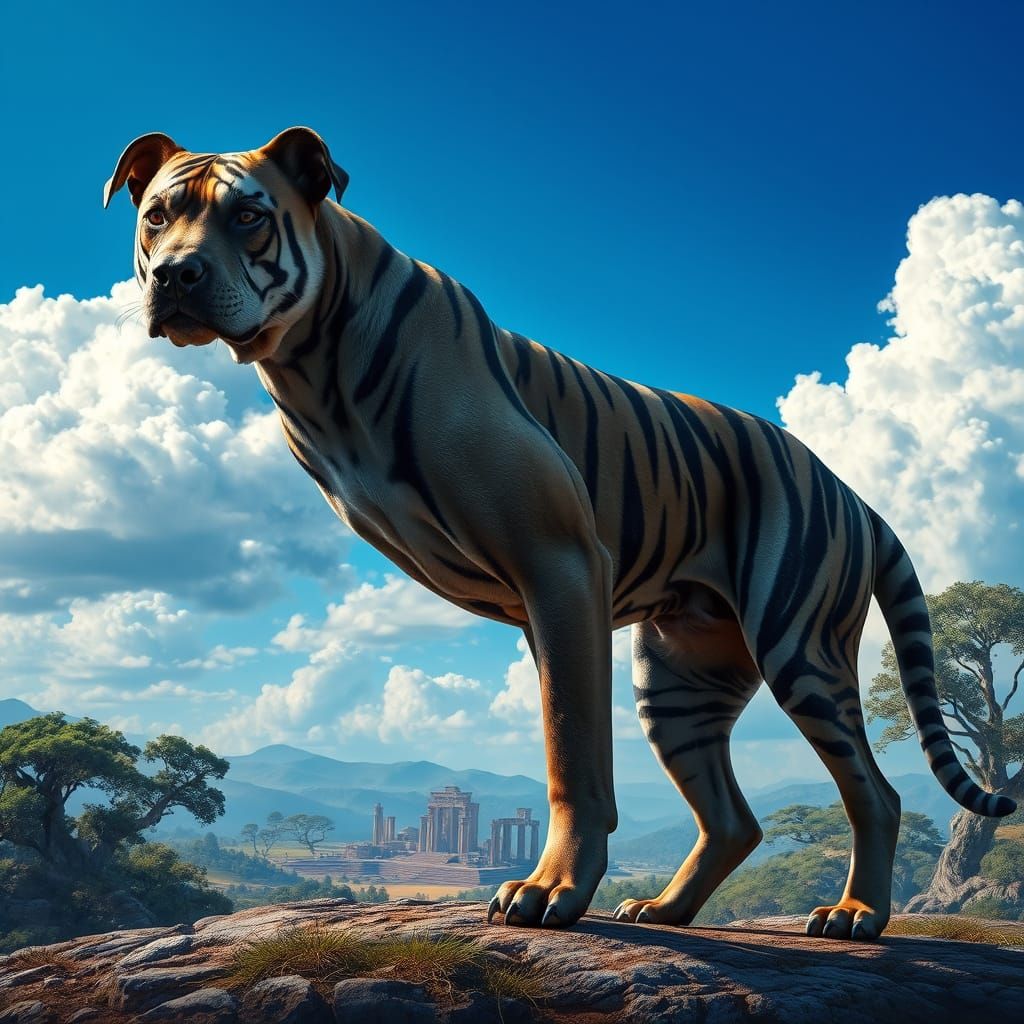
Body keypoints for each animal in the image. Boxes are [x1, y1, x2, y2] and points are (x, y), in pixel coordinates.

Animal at [104, 126, 1015, 940]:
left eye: (248, 216)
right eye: (158, 216)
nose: (178, 272)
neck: (308, 364)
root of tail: (851, 490)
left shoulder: (562, 566)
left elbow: (570, 751)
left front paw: (549, 892)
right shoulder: (553, 604)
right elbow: (568, 746)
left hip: (802, 648)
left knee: (875, 792)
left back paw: (856, 914)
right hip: (678, 686)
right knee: (735, 818)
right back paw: (666, 909)